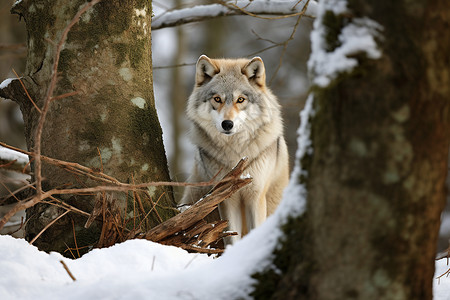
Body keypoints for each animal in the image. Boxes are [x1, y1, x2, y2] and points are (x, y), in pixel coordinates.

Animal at [179, 55, 288, 244]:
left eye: (240, 100)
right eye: (217, 99)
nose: (227, 124)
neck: (235, 152)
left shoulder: (255, 196)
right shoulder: (226, 199)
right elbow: (231, 235)